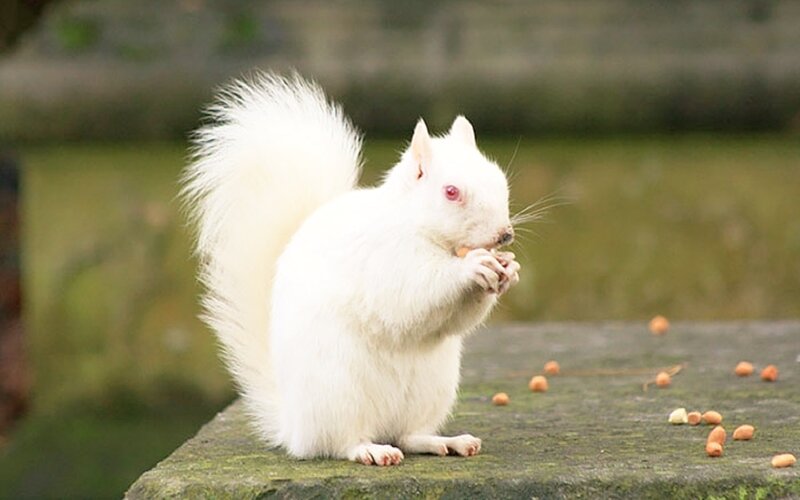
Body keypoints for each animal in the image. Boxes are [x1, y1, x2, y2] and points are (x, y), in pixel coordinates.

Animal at [182, 72, 521, 466]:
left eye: (498, 178)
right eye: (451, 192)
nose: (504, 234)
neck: (415, 225)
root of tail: (295, 428)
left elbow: (455, 320)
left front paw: (508, 269)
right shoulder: (384, 259)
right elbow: (414, 292)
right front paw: (472, 268)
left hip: (432, 389)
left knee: (408, 435)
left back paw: (445, 441)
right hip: (337, 392)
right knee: (341, 442)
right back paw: (370, 450)